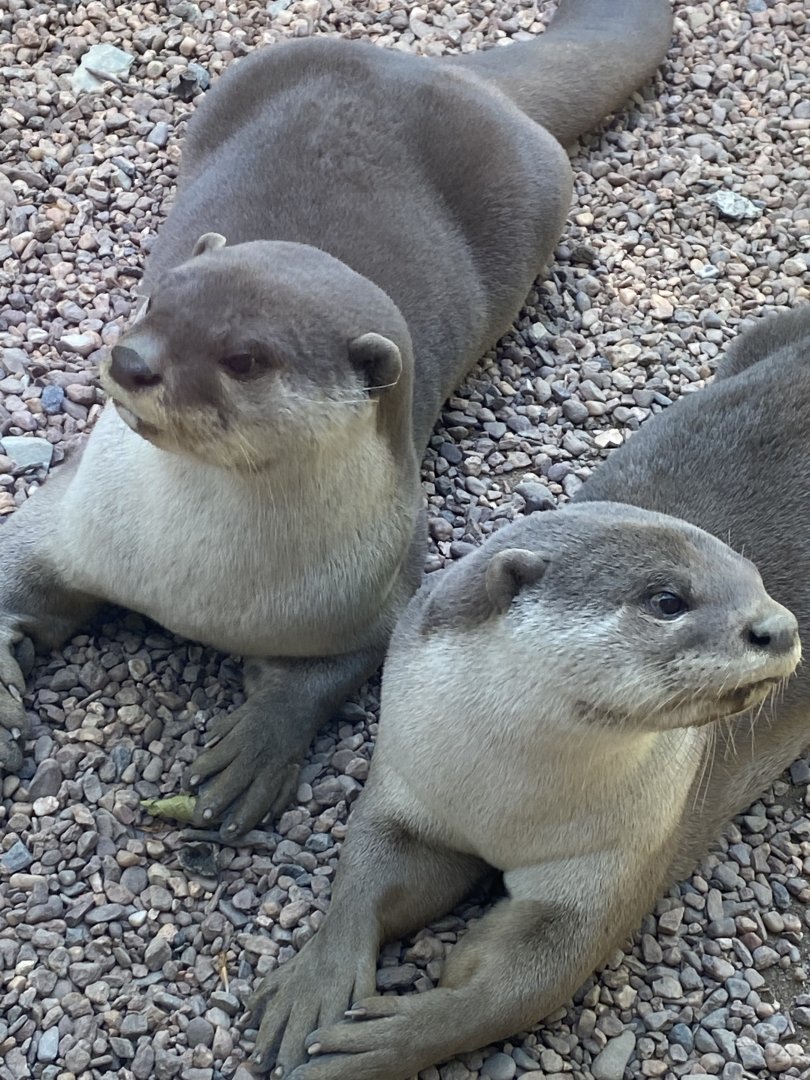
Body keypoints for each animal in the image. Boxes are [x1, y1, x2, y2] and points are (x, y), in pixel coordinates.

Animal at [0, 0, 674, 838]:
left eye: (244, 358)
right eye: (157, 299)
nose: (131, 362)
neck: (188, 578)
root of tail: (438, 70)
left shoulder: (382, 592)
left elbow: (330, 675)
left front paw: (254, 751)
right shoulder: (70, 512)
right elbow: (16, 567)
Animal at [248, 306, 810, 1079]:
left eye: (757, 584)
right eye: (667, 600)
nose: (780, 625)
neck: (508, 796)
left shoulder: (616, 861)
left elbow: (518, 987)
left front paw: (386, 1040)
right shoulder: (410, 780)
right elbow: (361, 876)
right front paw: (316, 981)